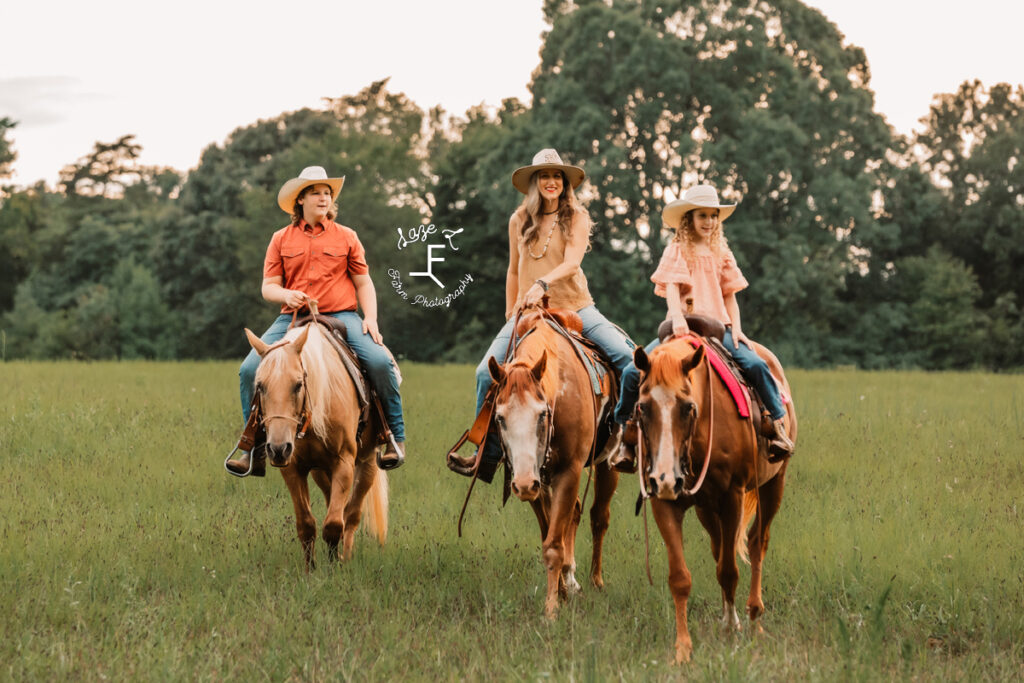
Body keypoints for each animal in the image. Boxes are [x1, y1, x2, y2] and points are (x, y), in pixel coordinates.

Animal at [246, 323, 387, 569]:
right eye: (260, 386)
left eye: (298, 385)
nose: (278, 449)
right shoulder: (293, 468)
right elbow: (306, 524)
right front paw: (310, 571)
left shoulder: (344, 463)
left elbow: (333, 524)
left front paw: (334, 568)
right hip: (320, 472)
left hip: (367, 463)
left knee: (351, 515)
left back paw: (346, 556)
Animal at [485, 307, 618, 618]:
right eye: (499, 418)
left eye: (542, 414)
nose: (523, 485)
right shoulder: (533, 479)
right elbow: (549, 538)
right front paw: (560, 595)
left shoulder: (567, 473)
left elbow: (555, 544)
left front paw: (550, 611)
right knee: (576, 513)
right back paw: (572, 580)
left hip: (607, 463)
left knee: (599, 517)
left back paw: (596, 581)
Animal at [634, 335, 794, 663]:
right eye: (643, 406)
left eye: (688, 407)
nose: (666, 478)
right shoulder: (663, 501)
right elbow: (680, 578)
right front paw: (683, 648)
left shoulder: (732, 495)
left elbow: (729, 571)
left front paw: (730, 630)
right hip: (707, 509)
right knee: (719, 547)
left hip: (774, 485)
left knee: (757, 543)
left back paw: (754, 617)